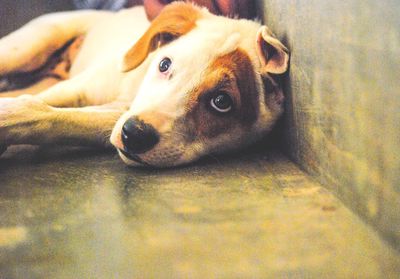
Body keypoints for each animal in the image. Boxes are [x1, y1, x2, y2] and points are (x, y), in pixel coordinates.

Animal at [0, 2, 290, 168]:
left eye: (221, 102)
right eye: (164, 64)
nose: (134, 134)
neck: (133, 86)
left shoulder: (117, 113)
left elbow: (59, 118)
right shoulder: (78, 90)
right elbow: (43, 102)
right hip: (25, 49)